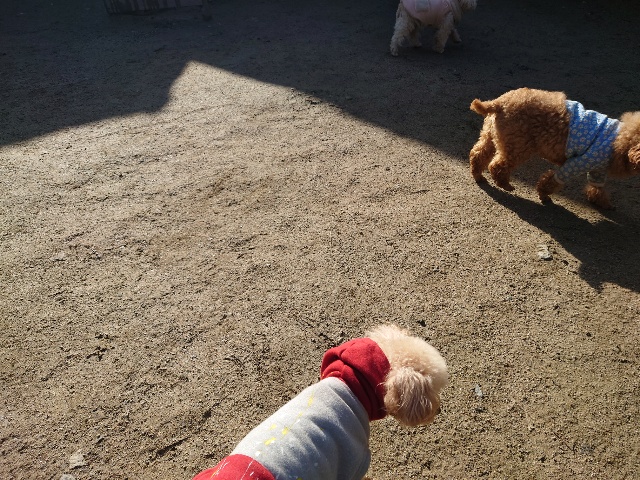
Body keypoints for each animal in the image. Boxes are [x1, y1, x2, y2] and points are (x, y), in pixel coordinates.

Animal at [469, 88, 640, 209]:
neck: (621, 139)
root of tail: (498, 103)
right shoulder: (578, 162)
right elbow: (553, 180)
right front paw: (544, 195)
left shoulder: (597, 170)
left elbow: (597, 187)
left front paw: (603, 203)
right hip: (518, 146)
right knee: (497, 166)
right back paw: (505, 185)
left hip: (491, 135)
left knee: (478, 154)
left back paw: (478, 175)